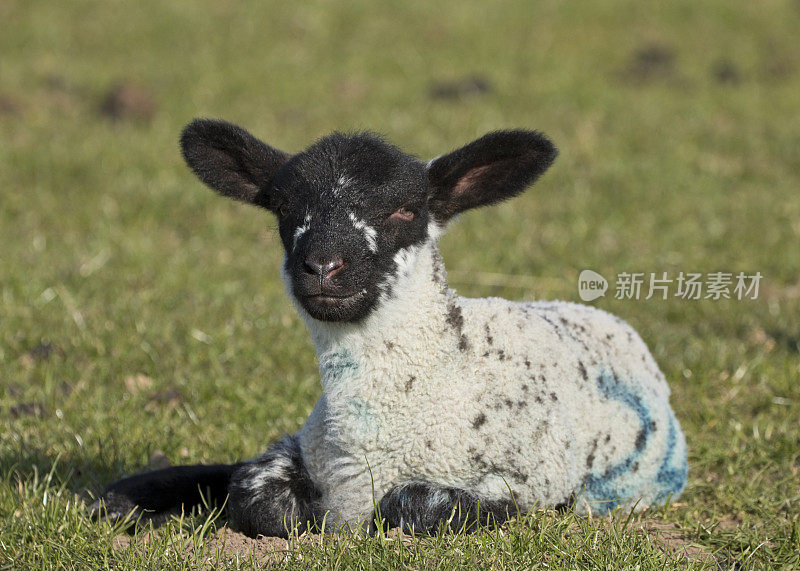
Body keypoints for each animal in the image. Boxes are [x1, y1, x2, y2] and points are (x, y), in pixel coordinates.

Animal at [95, 118, 688, 540]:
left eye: (405, 209)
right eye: (284, 208)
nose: (323, 266)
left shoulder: (525, 480)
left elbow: (411, 506)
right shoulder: (301, 444)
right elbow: (255, 494)